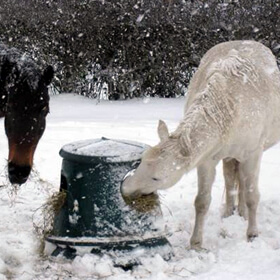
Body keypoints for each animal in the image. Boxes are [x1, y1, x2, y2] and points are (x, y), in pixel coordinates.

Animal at [122, 40, 280, 248]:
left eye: (156, 178)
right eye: (140, 162)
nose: (125, 188)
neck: (229, 110)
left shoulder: (253, 155)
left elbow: (253, 196)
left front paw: (252, 235)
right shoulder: (206, 160)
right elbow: (202, 201)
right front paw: (196, 243)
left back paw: (243, 214)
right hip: (229, 156)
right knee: (231, 178)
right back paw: (229, 213)